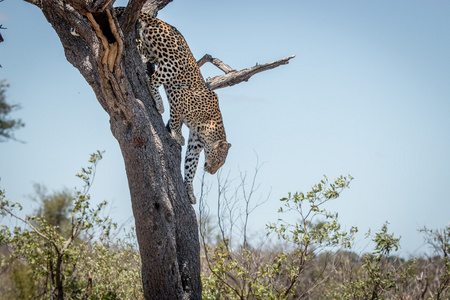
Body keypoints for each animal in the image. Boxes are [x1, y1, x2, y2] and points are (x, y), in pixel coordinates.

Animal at [115, 7, 232, 204]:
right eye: (219, 161)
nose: (211, 172)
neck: (208, 126)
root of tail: (160, 21)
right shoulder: (180, 97)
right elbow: (176, 118)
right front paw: (177, 136)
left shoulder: (195, 144)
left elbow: (190, 167)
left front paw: (190, 192)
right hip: (174, 63)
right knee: (151, 80)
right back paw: (159, 104)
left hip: (152, 51)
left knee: (140, 50)